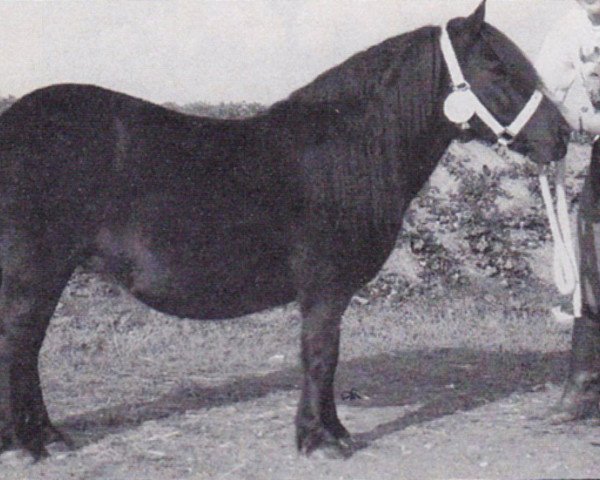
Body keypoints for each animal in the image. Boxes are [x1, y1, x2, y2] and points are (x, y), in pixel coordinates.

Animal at [0, 0, 568, 460]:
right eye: (496, 65)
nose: (563, 135)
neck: (349, 148)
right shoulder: (325, 289)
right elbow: (321, 356)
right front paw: (321, 440)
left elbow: (326, 359)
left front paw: (331, 432)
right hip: (36, 273)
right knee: (21, 344)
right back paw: (34, 443)